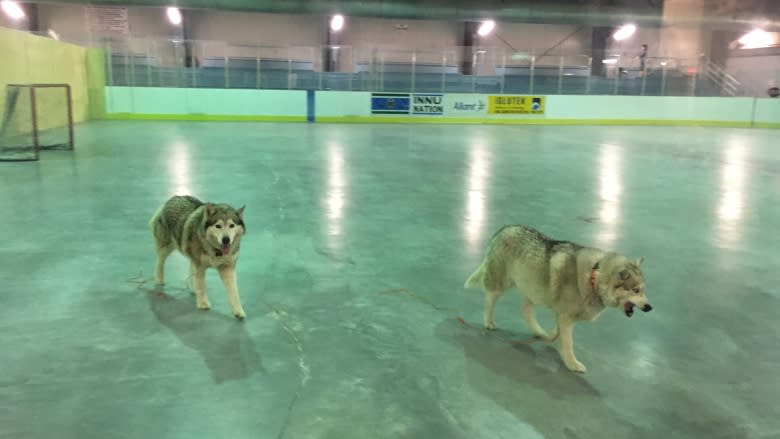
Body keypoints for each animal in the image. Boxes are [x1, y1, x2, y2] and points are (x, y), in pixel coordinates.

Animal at [464, 225, 652, 372]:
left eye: (643, 291)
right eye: (636, 290)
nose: (649, 307)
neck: (594, 277)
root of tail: (503, 230)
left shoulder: (563, 315)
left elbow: (558, 331)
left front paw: (553, 337)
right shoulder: (566, 318)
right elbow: (568, 343)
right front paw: (572, 363)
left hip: (533, 289)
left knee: (526, 312)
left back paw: (539, 332)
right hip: (501, 283)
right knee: (490, 300)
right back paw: (488, 321)